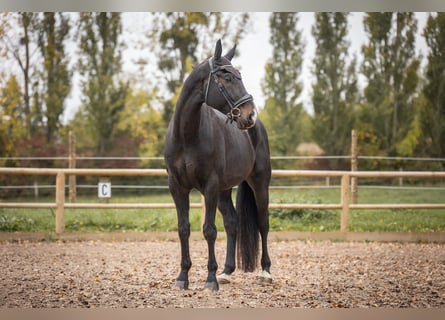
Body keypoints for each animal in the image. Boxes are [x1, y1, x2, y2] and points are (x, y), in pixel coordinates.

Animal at [164, 38, 270, 288]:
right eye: (227, 77)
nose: (249, 115)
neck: (187, 135)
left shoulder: (210, 186)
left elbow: (209, 230)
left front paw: (210, 279)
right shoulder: (177, 187)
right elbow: (184, 229)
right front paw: (182, 277)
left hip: (260, 183)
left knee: (263, 223)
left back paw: (265, 272)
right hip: (224, 190)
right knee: (232, 223)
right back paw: (227, 272)